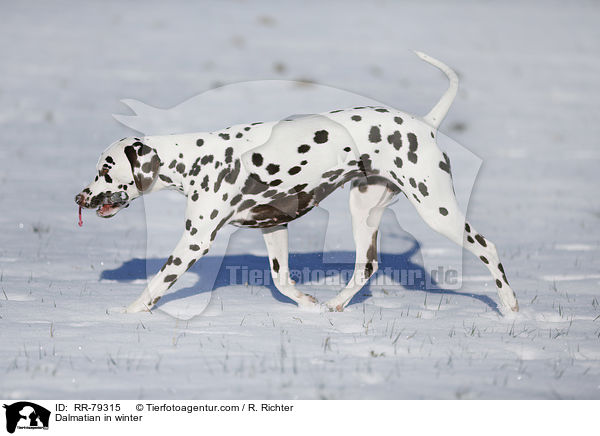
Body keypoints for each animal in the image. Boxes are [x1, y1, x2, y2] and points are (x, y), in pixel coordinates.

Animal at [72, 52, 516, 314]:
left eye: (106, 169)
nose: (80, 196)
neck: (194, 158)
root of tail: (425, 124)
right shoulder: (274, 227)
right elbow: (282, 281)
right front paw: (306, 302)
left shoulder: (195, 242)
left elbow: (156, 283)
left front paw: (129, 316)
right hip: (363, 212)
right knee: (366, 266)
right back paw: (335, 305)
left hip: (438, 212)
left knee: (489, 248)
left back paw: (510, 306)